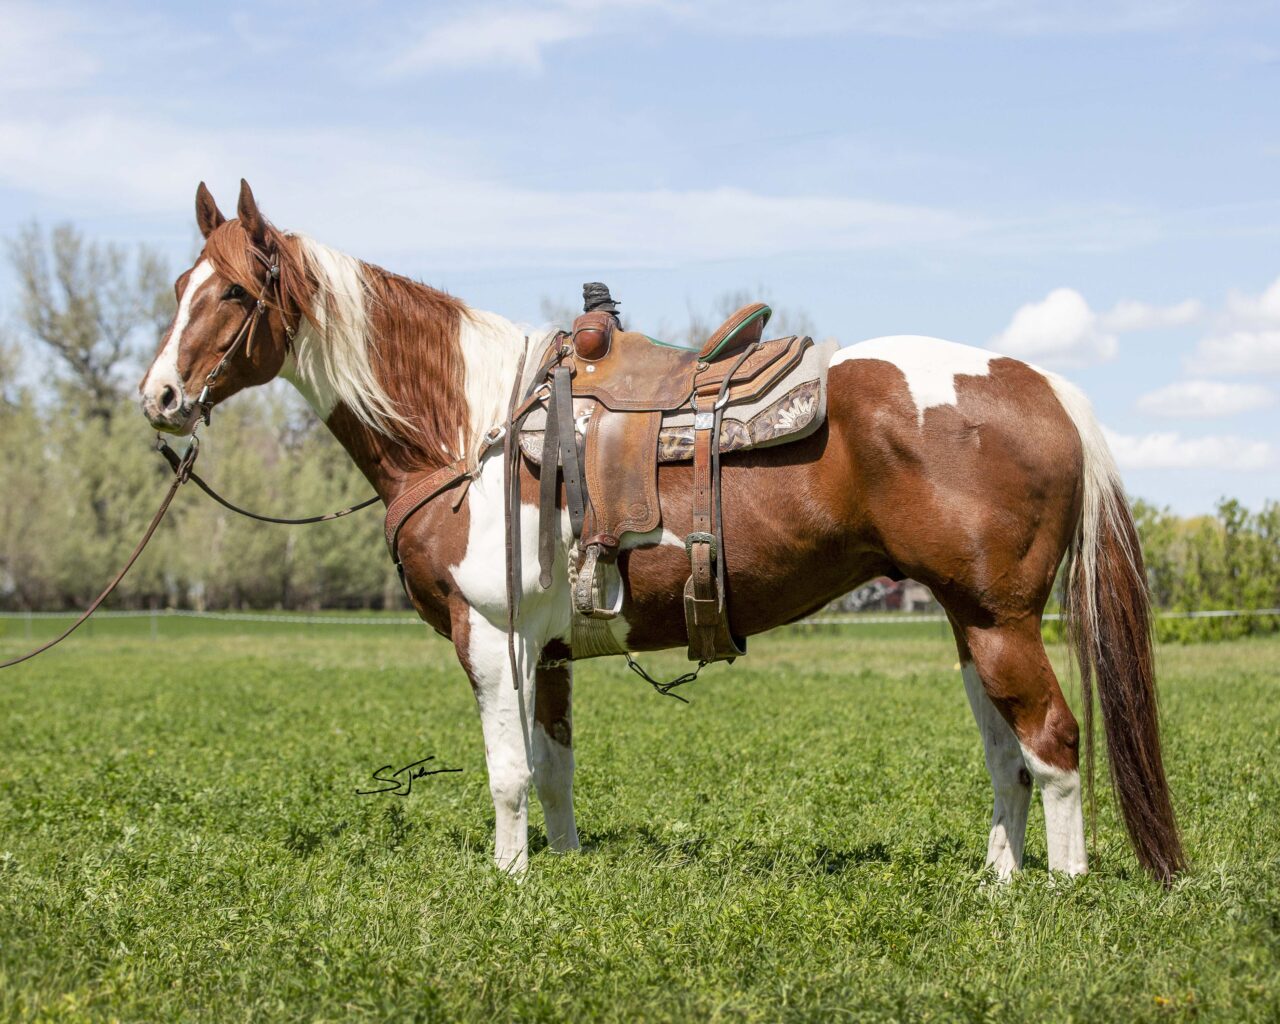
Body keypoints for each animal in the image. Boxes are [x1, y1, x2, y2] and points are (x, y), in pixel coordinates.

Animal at [138, 180, 1185, 885]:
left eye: (232, 293)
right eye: (183, 281)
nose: (159, 398)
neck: (472, 430)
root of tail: (1045, 385)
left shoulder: (492, 636)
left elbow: (508, 773)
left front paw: (508, 883)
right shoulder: (550, 648)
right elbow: (554, 770)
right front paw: (560, 869)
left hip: (1000, 621)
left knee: (1052, 742)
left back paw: (1063, 890)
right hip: (971, 623)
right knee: (1006, 753)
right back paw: (998, 883)